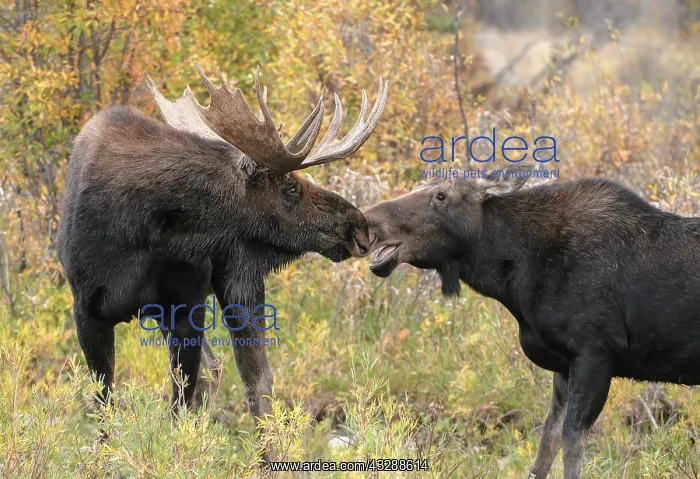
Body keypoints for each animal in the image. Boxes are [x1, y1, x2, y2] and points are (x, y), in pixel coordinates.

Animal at [58, 64, 388, 442]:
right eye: (291, 188)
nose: (360, 228)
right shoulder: (86, 309)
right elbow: (104, 406)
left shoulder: (185, 305)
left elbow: (182, 399)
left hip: (234, 283)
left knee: (252, 379)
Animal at [363, 167, 700, 478]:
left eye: (442, 195)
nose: (367, 220)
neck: (518, 279)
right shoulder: (564, 364)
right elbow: (546, 443)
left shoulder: (596, 352)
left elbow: (571, 441)